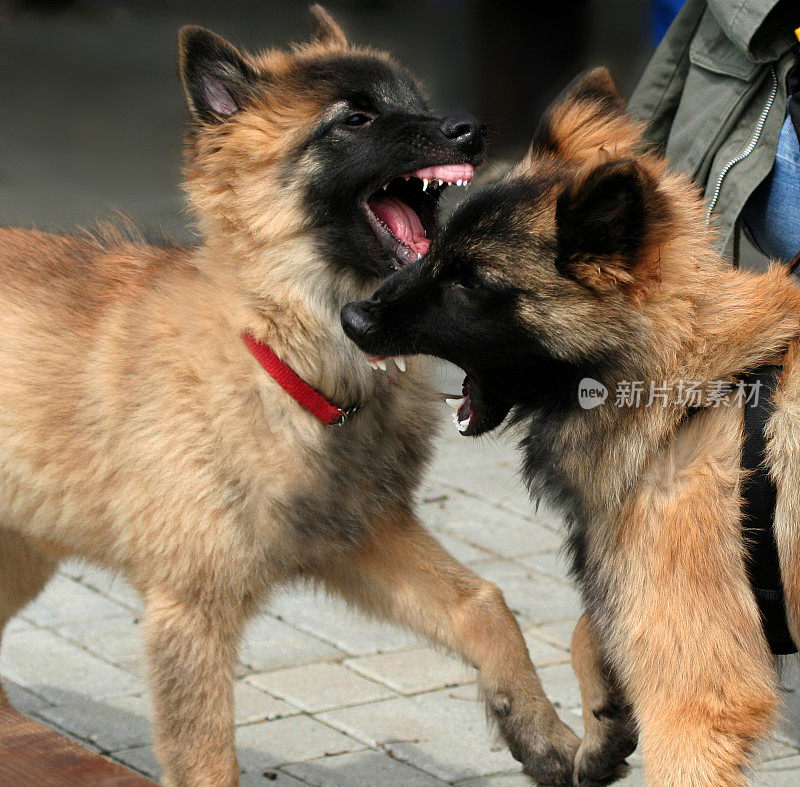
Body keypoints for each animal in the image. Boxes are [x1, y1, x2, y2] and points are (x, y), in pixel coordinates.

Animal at [0, 7, 580, 787]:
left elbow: (483, 604)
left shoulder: (362, 537)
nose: (469, 127)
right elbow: (209, 763)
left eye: (416, 99)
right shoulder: (192, 611)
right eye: (356, 118)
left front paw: (541, 731)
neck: (284, 350)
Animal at [344, 69, 800, 787]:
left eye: (472, 283)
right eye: (435, 249)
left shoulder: (697, 696)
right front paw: (604, 719)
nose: (353, 318)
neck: (692, 389)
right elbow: (592, 629)